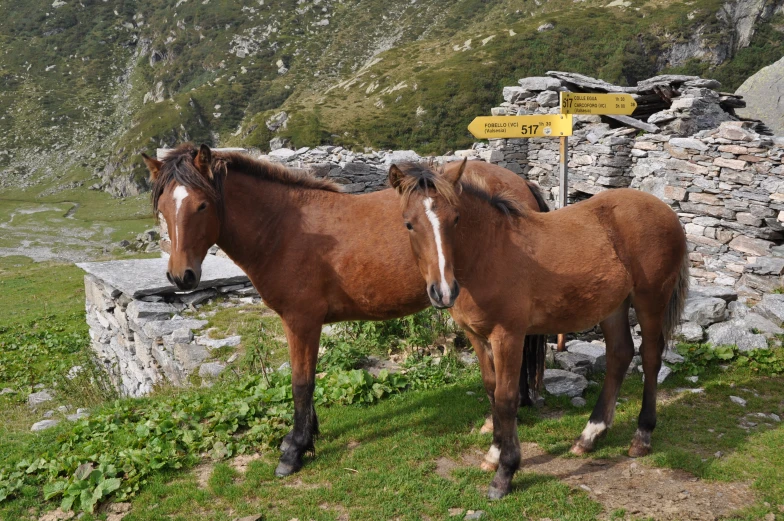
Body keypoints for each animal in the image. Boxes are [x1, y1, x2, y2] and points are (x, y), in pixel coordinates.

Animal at [138, 144, 548, 478]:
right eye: (163, 209)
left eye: (201, 205)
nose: (180, 276)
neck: (285, 228)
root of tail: (519, 183)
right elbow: (307, 381)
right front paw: (308, 436)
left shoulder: (301, 321)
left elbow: (301, 383)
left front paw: (294, 450)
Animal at [390, 162, 688, 500]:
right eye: (409, 224)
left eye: (455, 218)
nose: (442, 291)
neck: (489, 253)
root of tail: (665, 209)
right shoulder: (476, 336)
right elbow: (491, 390)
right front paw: (493, 454)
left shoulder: (508, 335)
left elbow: (506, 398)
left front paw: (505, 473)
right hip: (613, 305)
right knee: (620, 354)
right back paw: (590, 435)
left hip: (650, 300)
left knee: (649, 357)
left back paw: (642, 436)